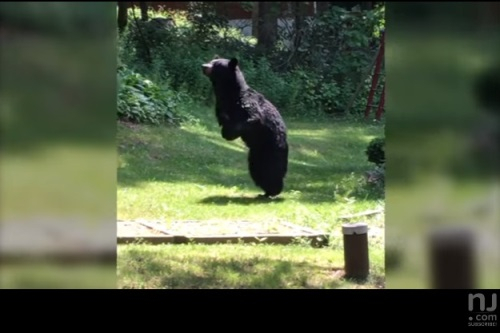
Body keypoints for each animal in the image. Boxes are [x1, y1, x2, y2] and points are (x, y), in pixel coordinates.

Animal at [202, 56, 290, 197]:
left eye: (216, 64)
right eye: (211, 61)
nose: (203, 66)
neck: (231, 94)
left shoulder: (247, 104)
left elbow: (252, 118)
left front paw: (229, 133)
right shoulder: (221, 105)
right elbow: (222, 118)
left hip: (271, 151)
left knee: (272, 171)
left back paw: (273, 191)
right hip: (254, 156)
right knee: (257, 171)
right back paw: (265, 192)